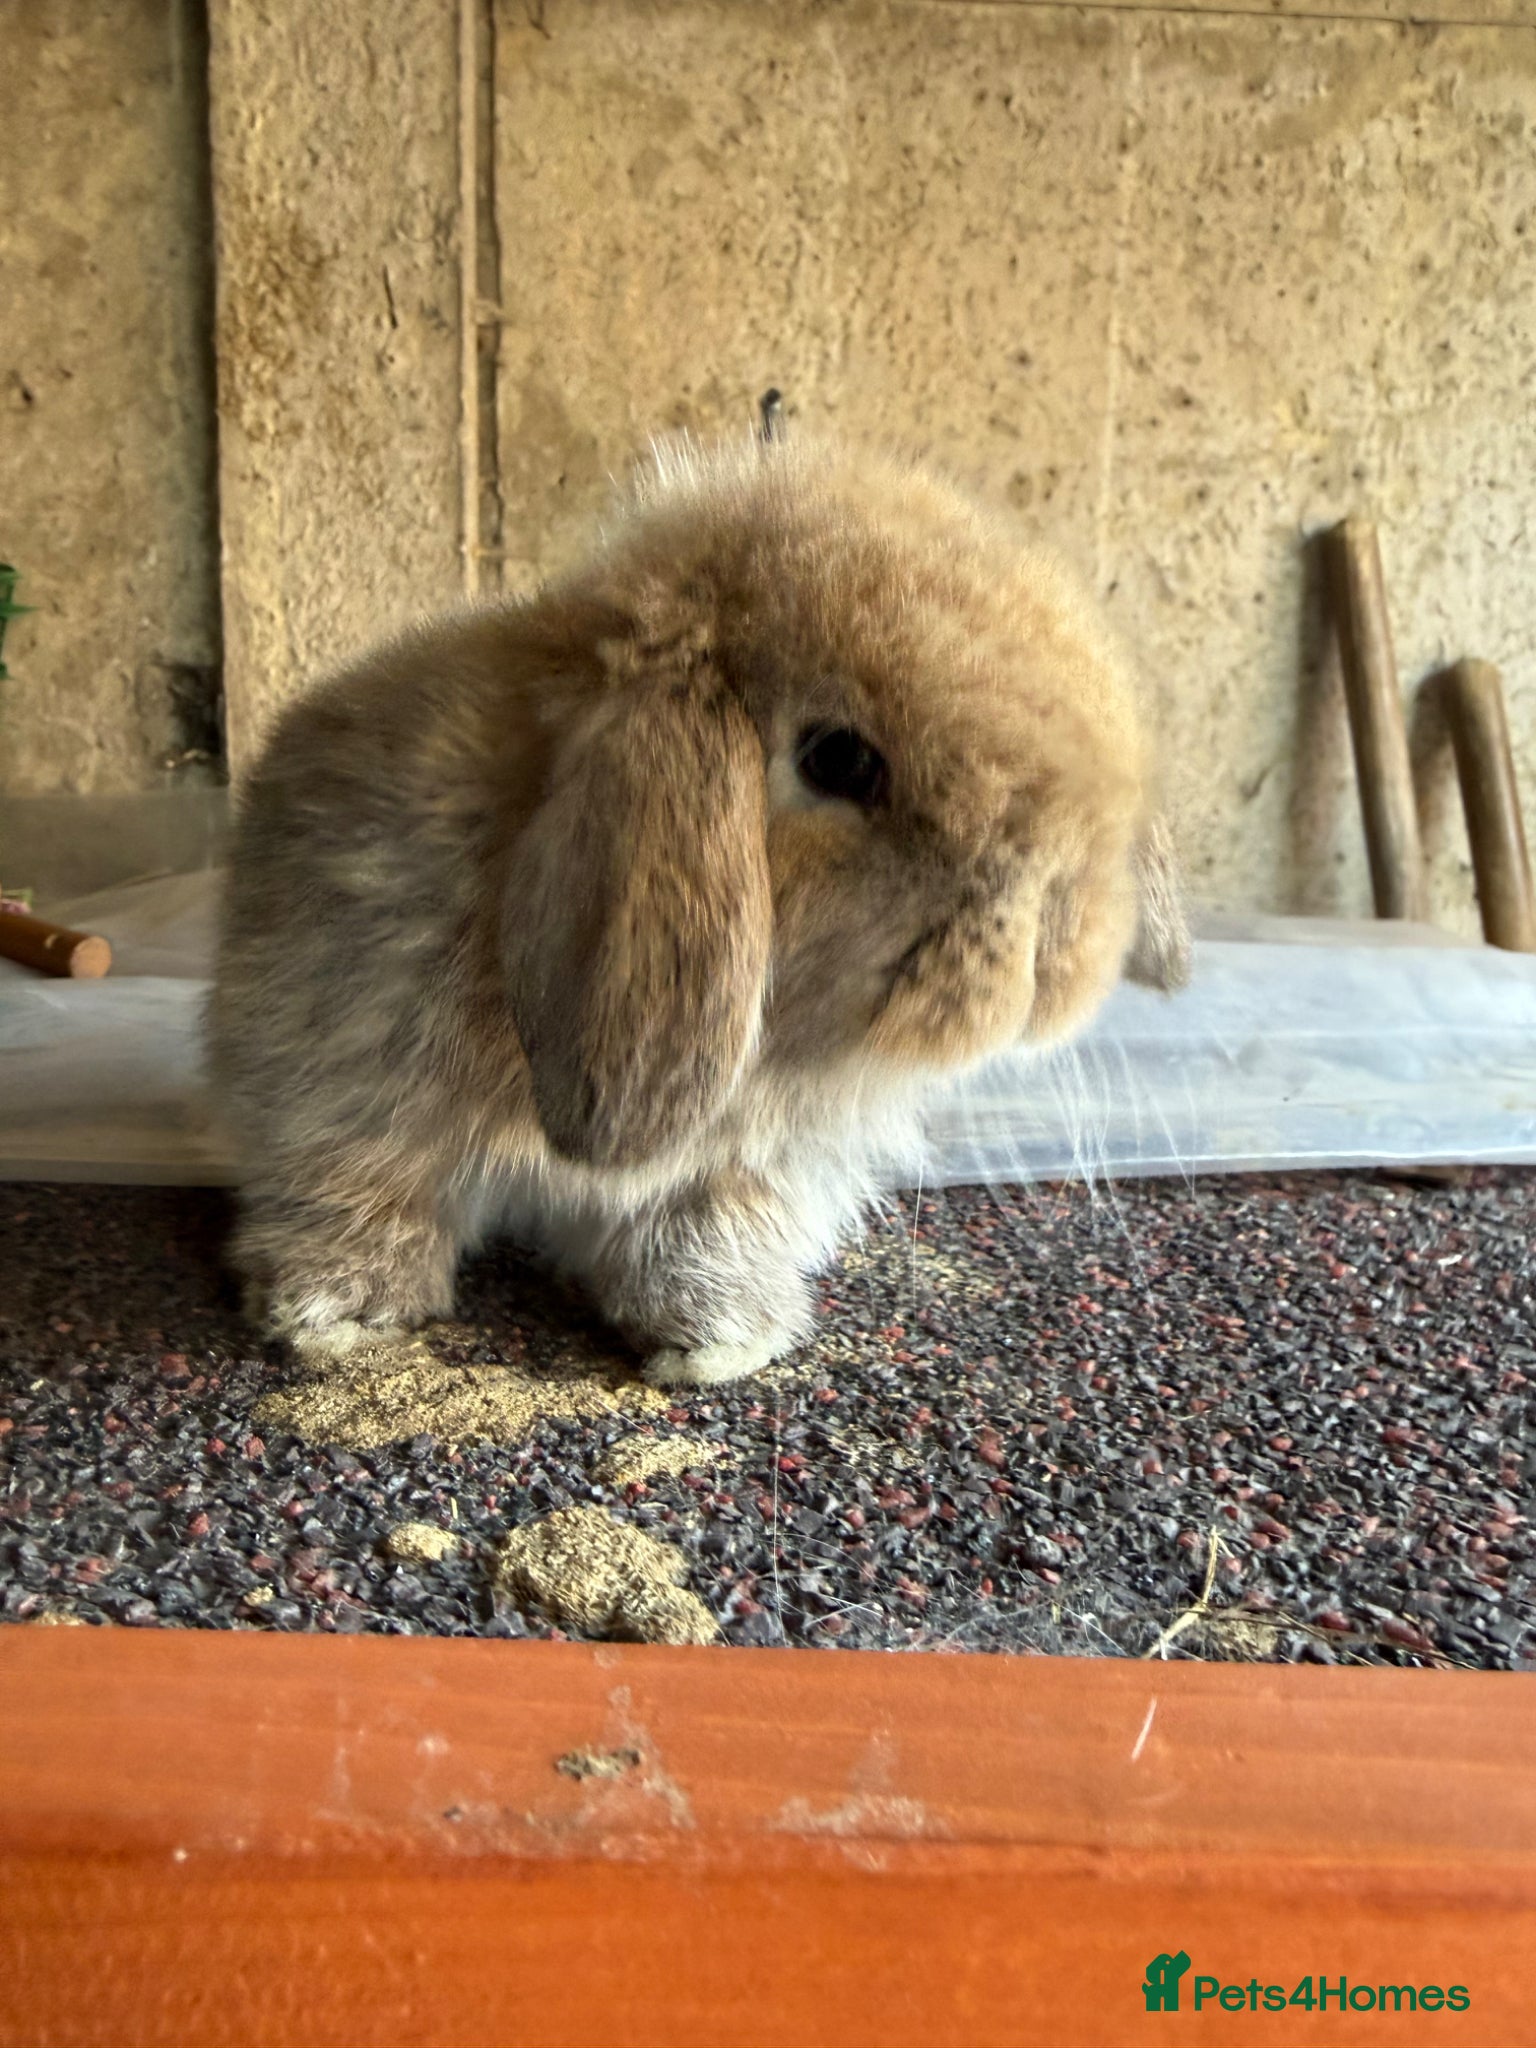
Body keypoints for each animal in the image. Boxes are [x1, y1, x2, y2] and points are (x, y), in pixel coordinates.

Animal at [208, 433, 1188, 1387]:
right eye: (839, 760)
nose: (1063, 950)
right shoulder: (350, 1078)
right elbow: (361, 1187)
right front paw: (337, 1317)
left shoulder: (737, 1171)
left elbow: (695, 1238)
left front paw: (717, 1345)